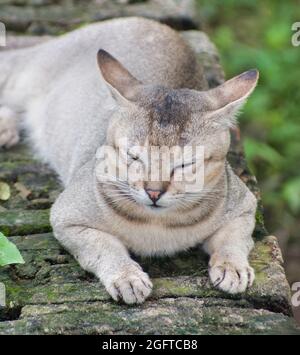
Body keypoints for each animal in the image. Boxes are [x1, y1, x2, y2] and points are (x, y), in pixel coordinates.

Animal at [0, 18, 258, 304]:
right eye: (133, 156)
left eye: (184, 165)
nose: (154, 192)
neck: (158, 228)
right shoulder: (66, 217)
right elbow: (104, 246)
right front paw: (126, 276)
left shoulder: (245, 206)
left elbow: (233, 239)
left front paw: (232, 266)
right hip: (23, 76)